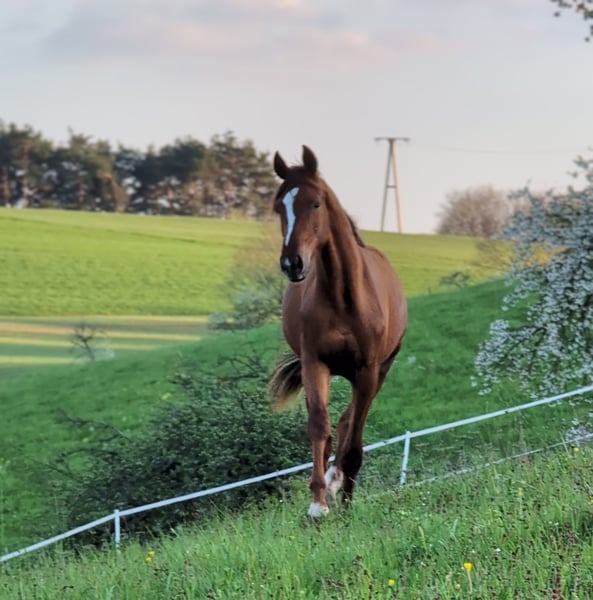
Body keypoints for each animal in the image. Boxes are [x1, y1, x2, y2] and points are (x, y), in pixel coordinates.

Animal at [268, 146, 407, 519]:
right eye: (279, 207)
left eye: (315, 203)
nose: (292, 264)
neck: (344, 296)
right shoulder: (315, 363)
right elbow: (319, 426)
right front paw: (317, 504)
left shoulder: (368, 370)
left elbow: (355, 438)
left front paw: (344, 501)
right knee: (335, 425)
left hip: (379, 372)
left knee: (349, 423)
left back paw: (338, 482)